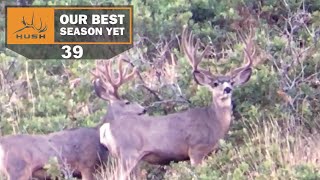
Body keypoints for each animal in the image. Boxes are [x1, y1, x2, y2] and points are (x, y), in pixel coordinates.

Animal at [100, 28, 255, 177]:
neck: (213, 121)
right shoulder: (196, 148)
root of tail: (106, 128)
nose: (228, 89)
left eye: (232, 82)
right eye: (215, 83)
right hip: (128, 153)